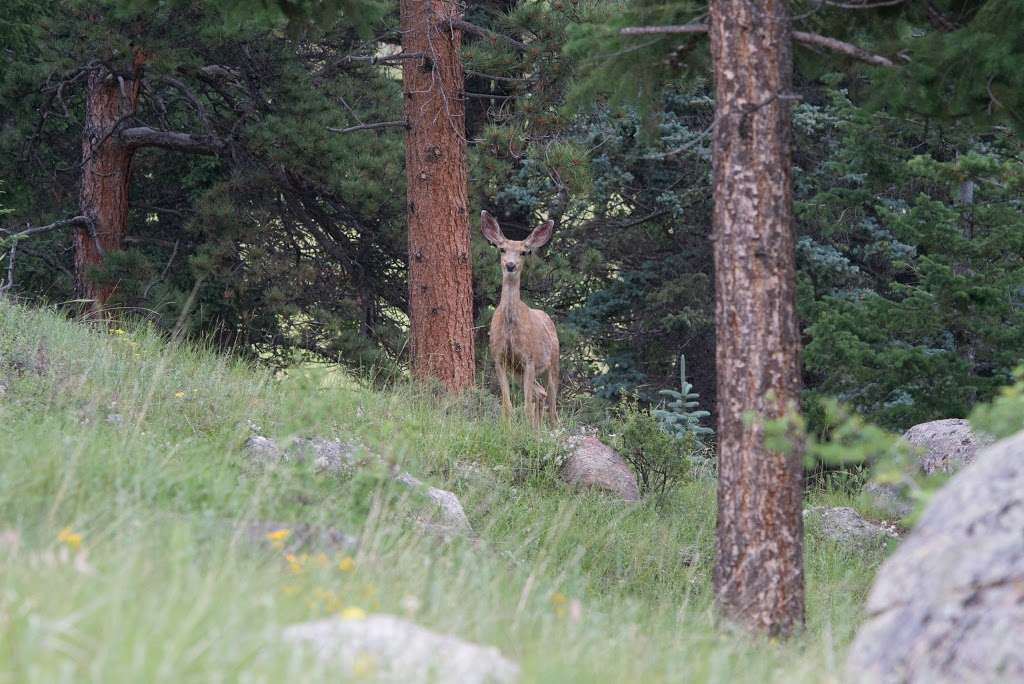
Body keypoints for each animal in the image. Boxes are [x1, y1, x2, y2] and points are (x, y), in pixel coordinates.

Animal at [481, 210, 561, 428]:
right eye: (501, 249)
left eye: (524, 252)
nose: (510, 265)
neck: (510, 327)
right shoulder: (499, 358)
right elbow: (507, 405)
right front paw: (506, 429)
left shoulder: (529, 358)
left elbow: (525, 405)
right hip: (517, 371)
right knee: (540, 393)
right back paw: (537, 429)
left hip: (554, 361)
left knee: (552, 402)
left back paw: (550, 429)